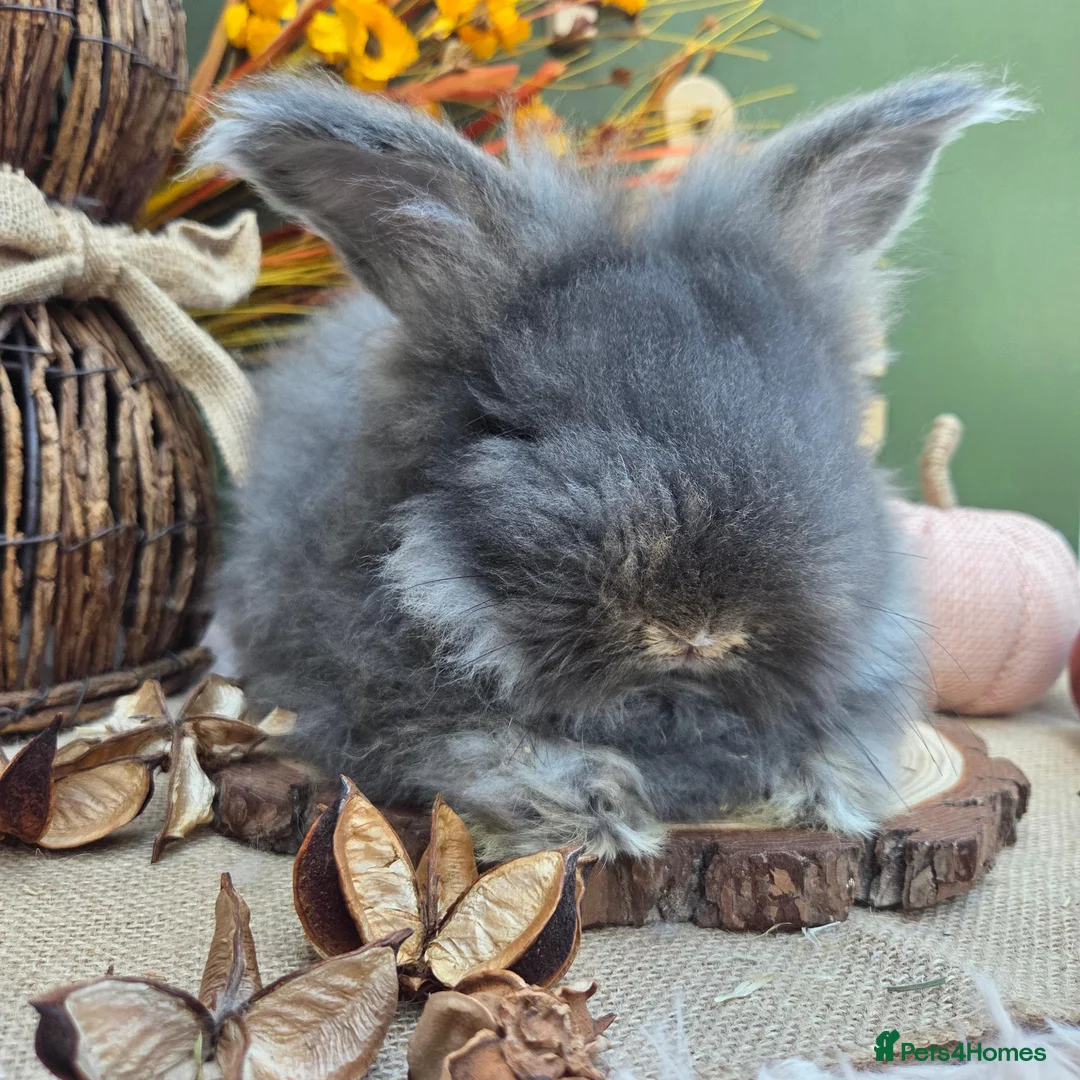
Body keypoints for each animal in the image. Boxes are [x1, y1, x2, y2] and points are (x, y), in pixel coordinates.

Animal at [197, 70, 1026, 861]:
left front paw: (825, 791)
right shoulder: (380, 709)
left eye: (815, 421)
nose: (697, 628)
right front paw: (600, 814)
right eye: (512, 429)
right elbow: (492, 750)